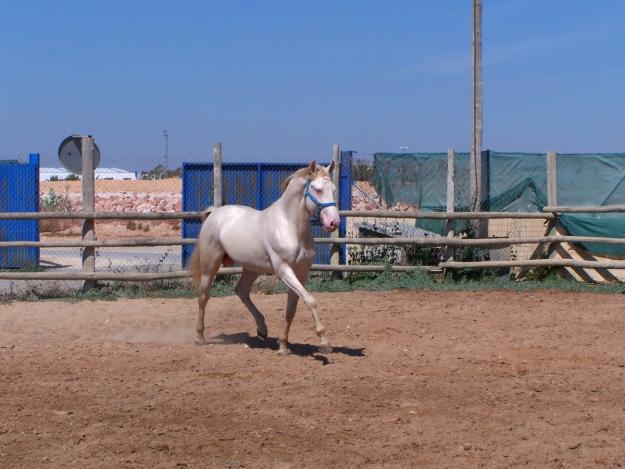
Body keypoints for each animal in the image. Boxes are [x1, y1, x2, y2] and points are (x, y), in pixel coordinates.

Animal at [188, 161, 338, 354]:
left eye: (333, 189)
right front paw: (324, 342)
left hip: (251, 268)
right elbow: (311, 301)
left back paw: (262, 329)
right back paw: (200, 337)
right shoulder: (283, 270)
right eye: (317, 189)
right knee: (203, 296)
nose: (334, 222)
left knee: (241, 291)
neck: (289, 226)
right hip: (210, 265)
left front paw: (283, 346)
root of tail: (214, 213)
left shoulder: (301, 273)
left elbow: (291, 309)